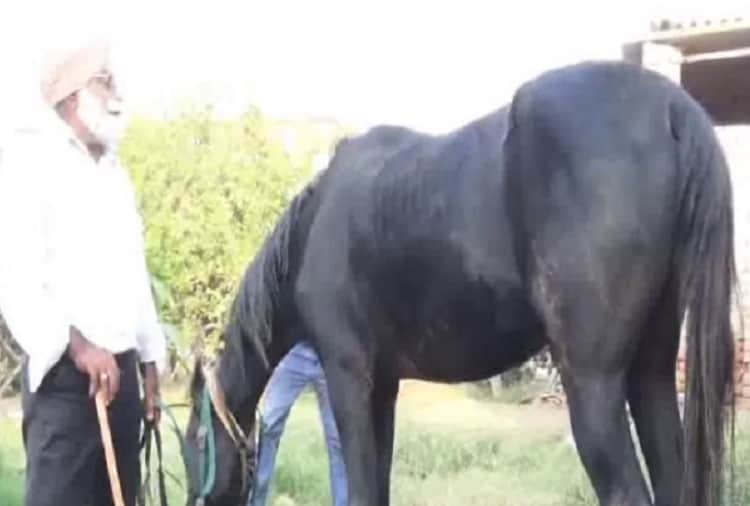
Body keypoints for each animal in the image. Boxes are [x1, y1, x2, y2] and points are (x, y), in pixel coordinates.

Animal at [183, 60, 737, 506]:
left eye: (195, 443)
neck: (311, 227)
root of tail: (670, 105)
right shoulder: (383, 388)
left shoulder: (347, 376)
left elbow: (361, 488)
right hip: (652, 373)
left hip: (593, 382)